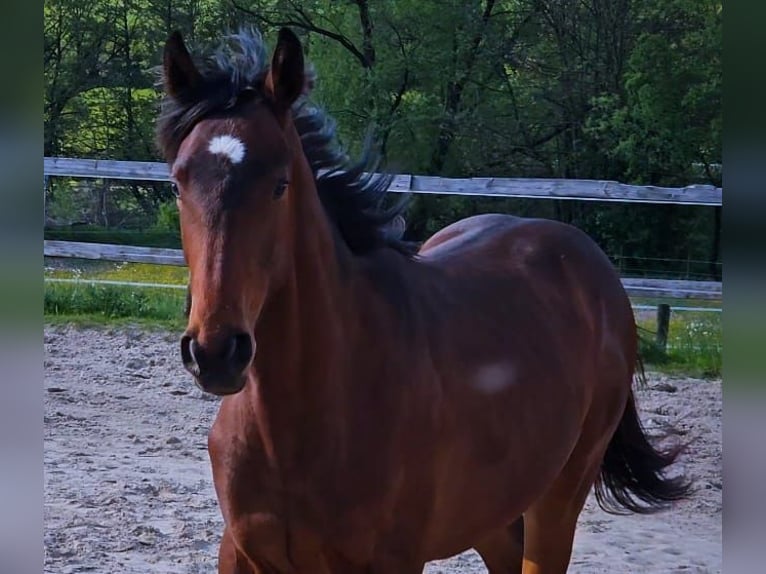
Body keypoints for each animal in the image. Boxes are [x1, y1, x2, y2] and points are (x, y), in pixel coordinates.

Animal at [159, 25, 692, 572]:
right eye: (178, 184)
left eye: (279, 185)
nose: (216, 353)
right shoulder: (243, 555)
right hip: (491, 511)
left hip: (559, 494)